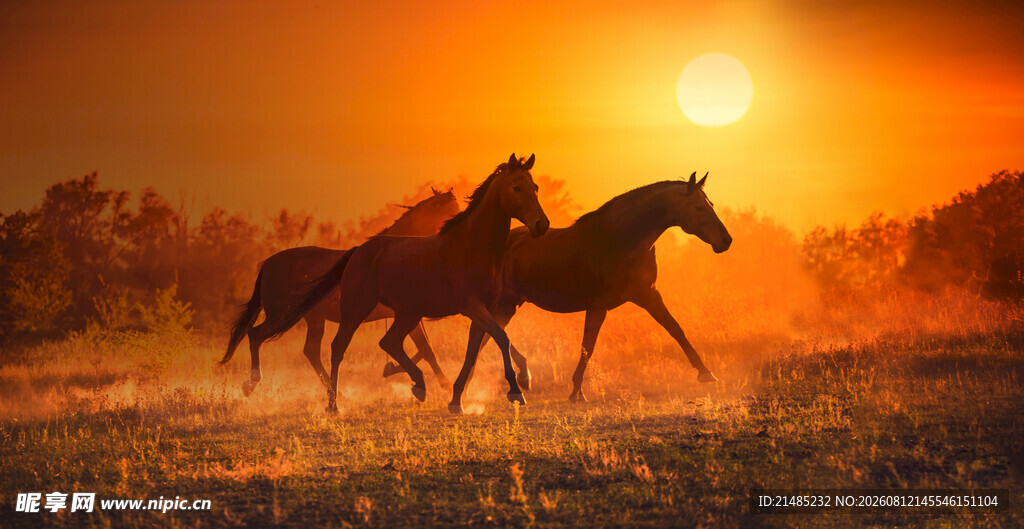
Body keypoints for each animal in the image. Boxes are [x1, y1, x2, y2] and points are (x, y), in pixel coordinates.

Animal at [218, 188, 460, 396]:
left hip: (313, 319)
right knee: (255, 335)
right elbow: (425, 349)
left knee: (310, 352)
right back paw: (252, 382)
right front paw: (444, 384)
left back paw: (335, 392)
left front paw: (394, 370)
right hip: (280, 315)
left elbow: (425, 348)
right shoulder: (405, 314)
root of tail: (269, 263)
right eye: (451, 210)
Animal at [266, 154, 549, 412]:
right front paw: (516, 391)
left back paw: (418, 385)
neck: (473, 247)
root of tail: (358, 251)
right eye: (516, 187)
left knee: (388, 343)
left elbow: (474, 350)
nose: (542, 224)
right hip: (357, 310)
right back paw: (334, 404)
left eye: (535, 187)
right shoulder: (472, 307)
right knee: (338, 348)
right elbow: (501, 338)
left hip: (406, 314)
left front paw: (456, 400)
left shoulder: (481, 311)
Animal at [449, 172, 731, 413]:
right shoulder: (598, 306)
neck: (621, 240)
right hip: (499, 303)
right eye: (699, 207)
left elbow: (675, 329)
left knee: (485, 337)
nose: (726, 241)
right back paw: (468, 393)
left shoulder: (647, 295)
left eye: (710, 204)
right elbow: (588, 346)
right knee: (480, 336)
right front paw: (576, 392)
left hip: (509, 304)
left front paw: (706, 372)